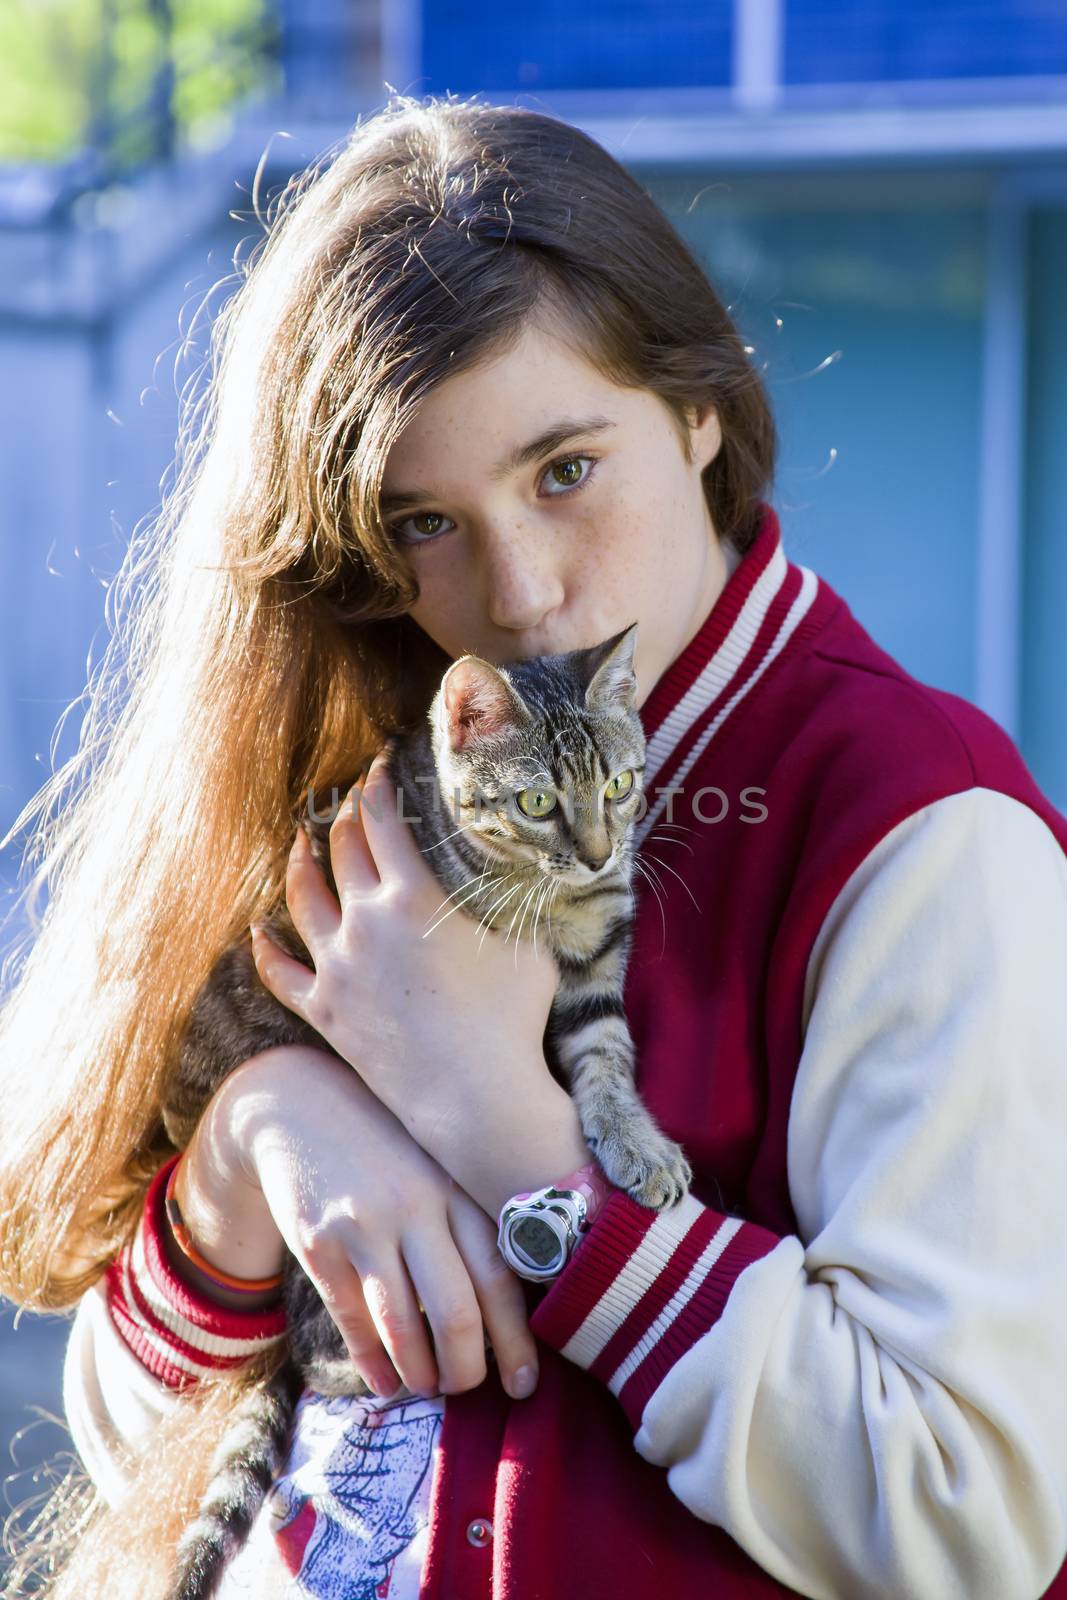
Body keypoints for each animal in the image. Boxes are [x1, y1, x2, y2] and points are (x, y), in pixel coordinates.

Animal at [158, 624, 694, 1600]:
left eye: (617, 784)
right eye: (534, 801)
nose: (601, 853)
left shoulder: (596, 966)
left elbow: (607, 1060)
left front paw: (636, 1143)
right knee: (322, 1351)